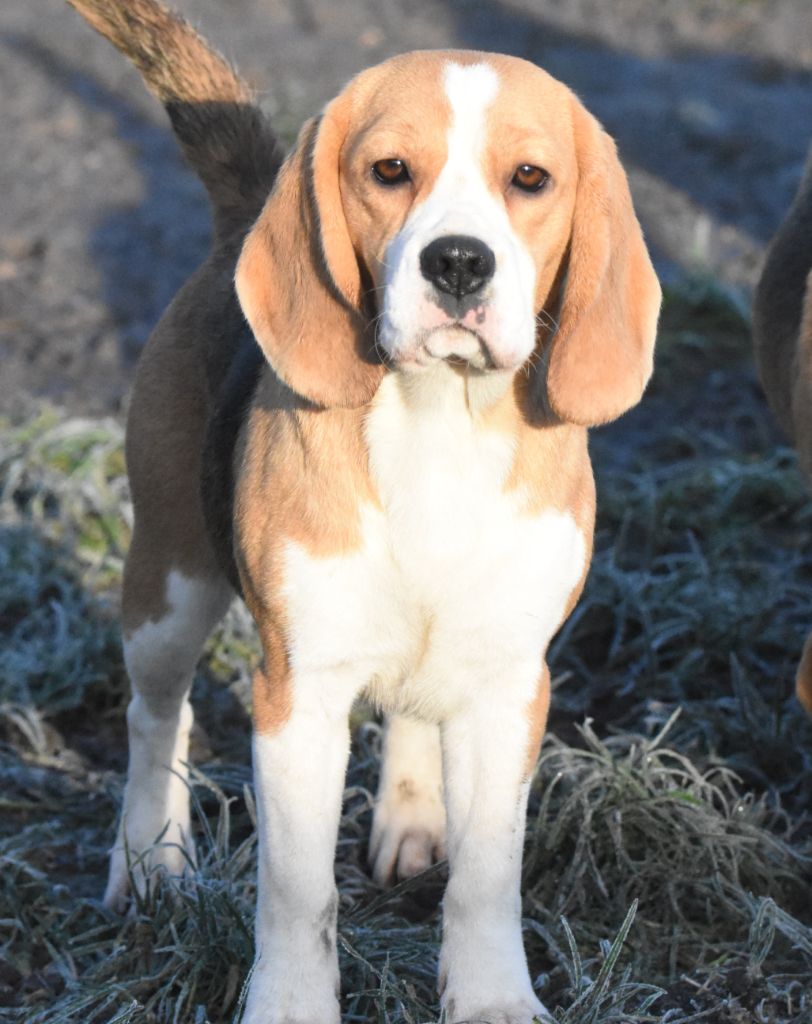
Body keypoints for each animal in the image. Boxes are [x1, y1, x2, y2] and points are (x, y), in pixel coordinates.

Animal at [71, 2, 659, 1024]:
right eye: (389, 171)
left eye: (530, 179)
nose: (458, 262)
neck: (438, 427)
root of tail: (242, 212)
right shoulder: (298, 695)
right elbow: (299, 891)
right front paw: (290, 1006)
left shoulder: (510, 688)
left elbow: (488, 879)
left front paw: (492, 1000)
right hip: (168, 587)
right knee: (157, 719)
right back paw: (150, 858)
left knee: (411, 710)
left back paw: (413, 812)